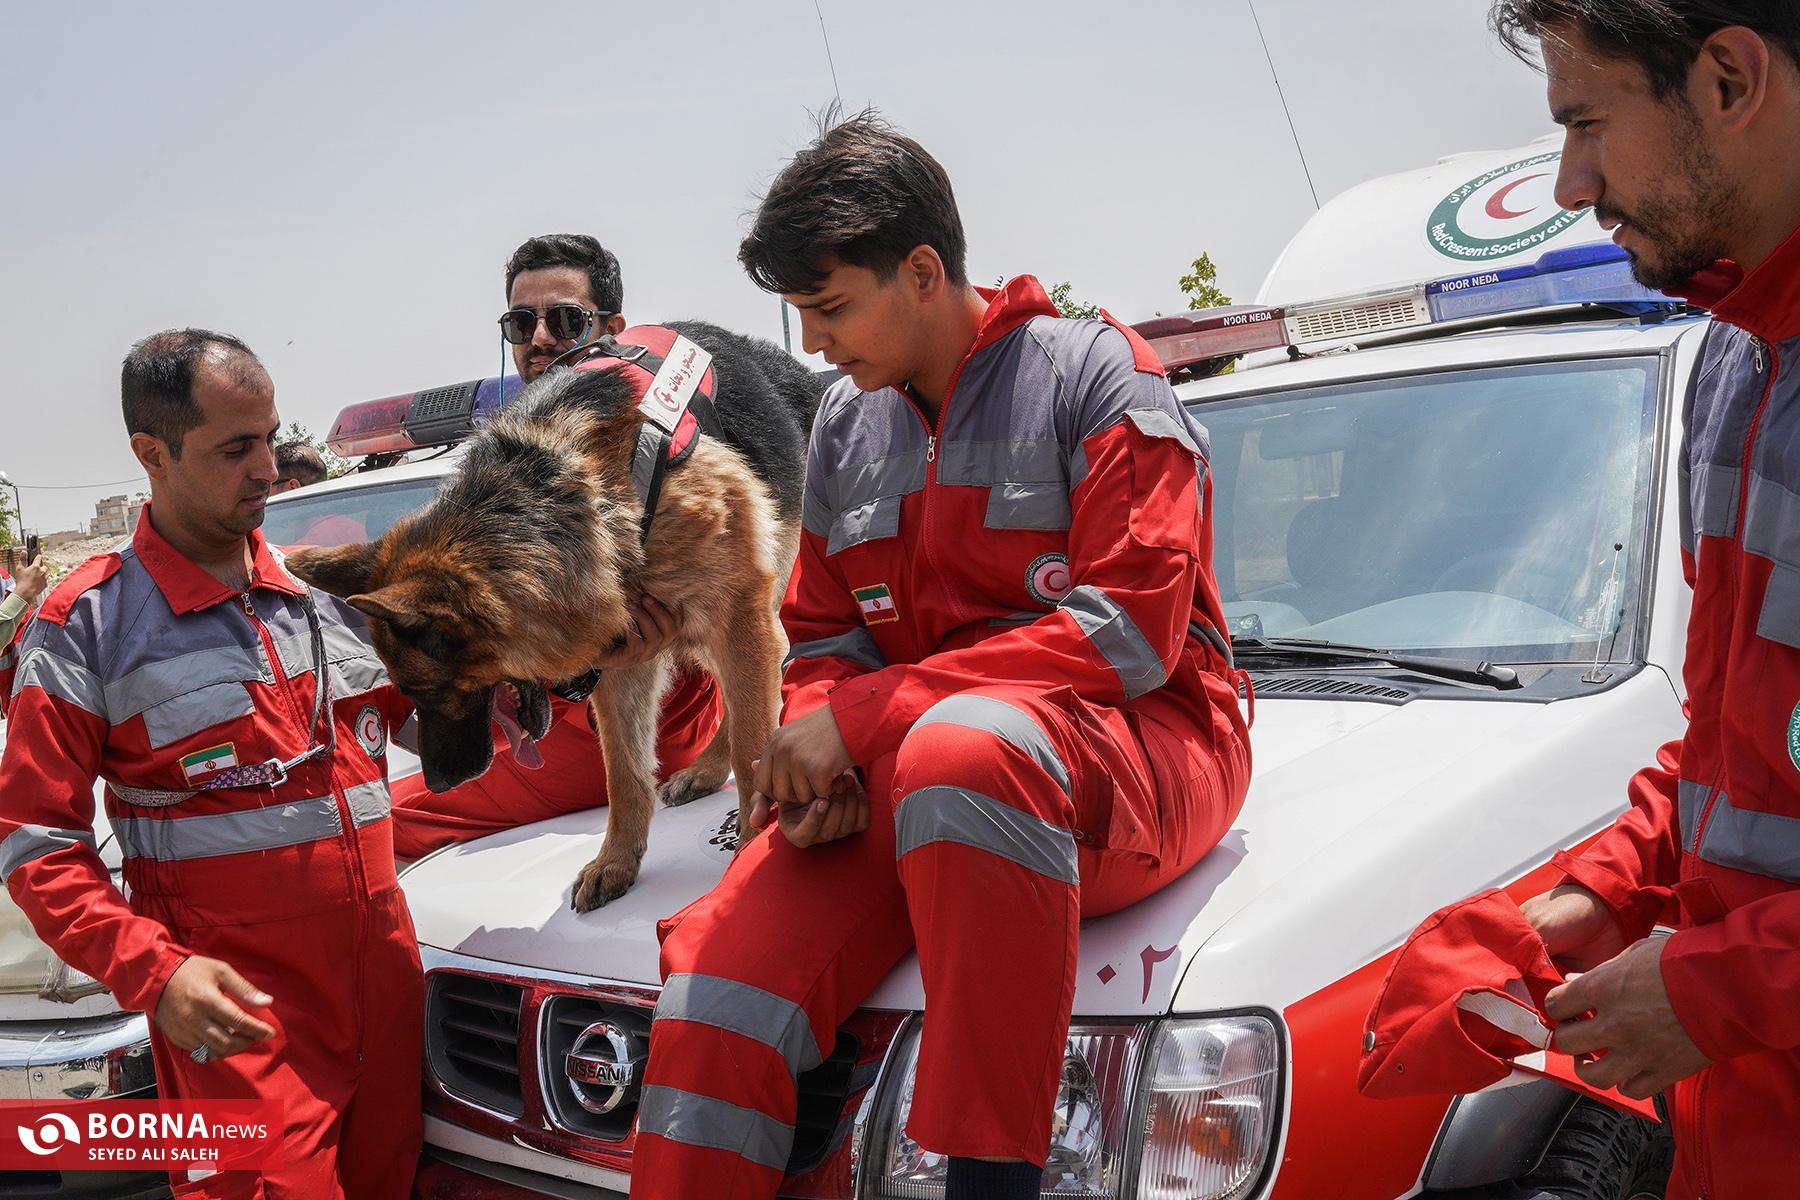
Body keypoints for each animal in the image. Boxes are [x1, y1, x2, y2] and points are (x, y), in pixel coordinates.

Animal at [288, 321, 824, 909]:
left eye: (425, 691)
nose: (439, 784)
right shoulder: (625, 656)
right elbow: (624, 773)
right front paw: (617, 861)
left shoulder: (735, 619)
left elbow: (753, 750)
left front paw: (751, 850)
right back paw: (705, 769)